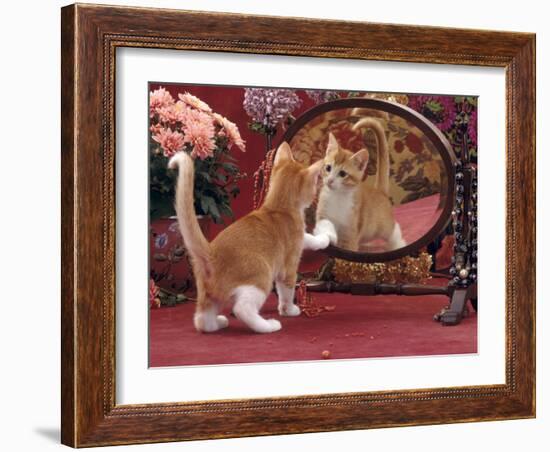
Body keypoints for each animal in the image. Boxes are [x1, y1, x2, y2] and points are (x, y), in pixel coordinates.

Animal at [170, 143, 328, 334]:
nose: (316, 192)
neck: (278, 207)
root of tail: (211, 253)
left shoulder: (299, 237)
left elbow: (309, 238)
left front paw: (324, 239)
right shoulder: (288, 267)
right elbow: (287, 292)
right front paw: (289, 310)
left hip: (208, 296)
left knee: (201, 320)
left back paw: (218, 323)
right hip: (261, 276)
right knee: (242, 309)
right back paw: (268, 325)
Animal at [316, 117, 408, 251]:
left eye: (342, 174)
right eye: (328, 168)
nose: (330, 180)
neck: (336, 197)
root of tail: (379, 191)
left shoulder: (349, 233)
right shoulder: (323, 218)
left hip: (382, 227)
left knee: (393, 230)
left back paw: (398, 244)